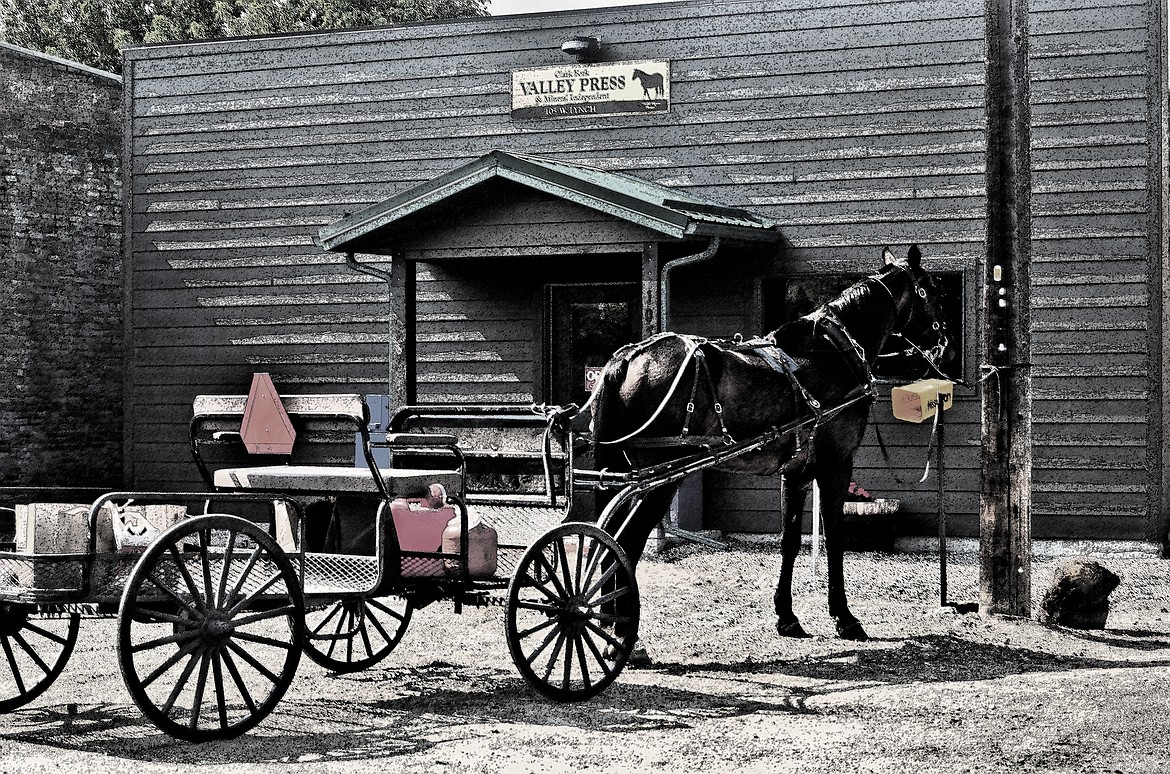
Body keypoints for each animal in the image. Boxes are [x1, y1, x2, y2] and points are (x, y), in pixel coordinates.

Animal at [594, 246, 950, 640]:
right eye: (935, 290)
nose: (943, 344)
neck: (833, 354)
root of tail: (628, 357)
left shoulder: (795, 473)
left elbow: (790, 540)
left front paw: (786, 615)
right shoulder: (836, 464)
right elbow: (835, 537)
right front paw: (844, 617)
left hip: (633, 477)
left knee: (608, 541)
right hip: (659, 480)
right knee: (623, 542)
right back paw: (622, 628)